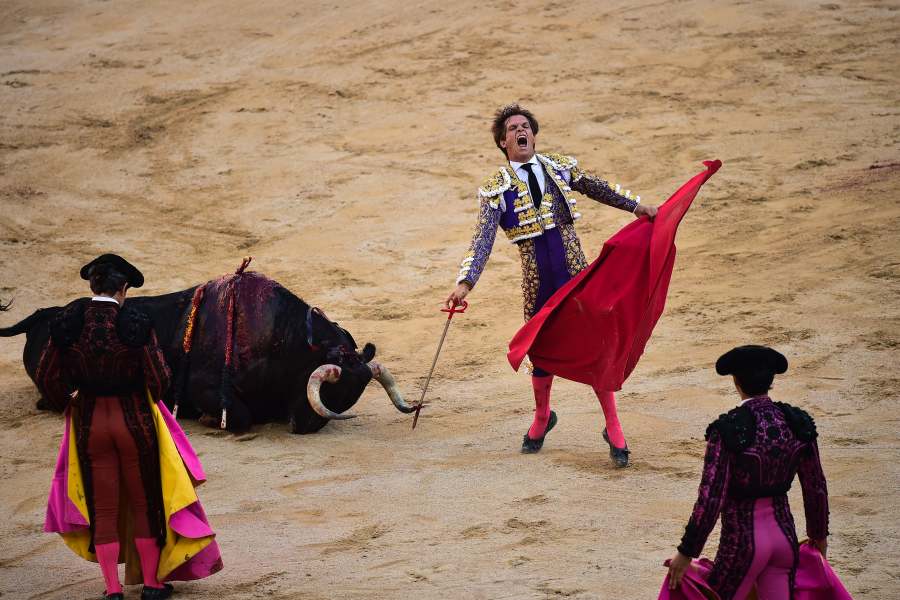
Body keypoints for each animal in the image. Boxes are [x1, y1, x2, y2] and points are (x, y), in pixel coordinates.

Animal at [0, 267, 416, 433]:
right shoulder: (208, 389)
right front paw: (204, 418)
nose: (304, 426)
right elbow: (240, 416)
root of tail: (45, 314)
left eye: (350, 394)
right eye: (332, 387)